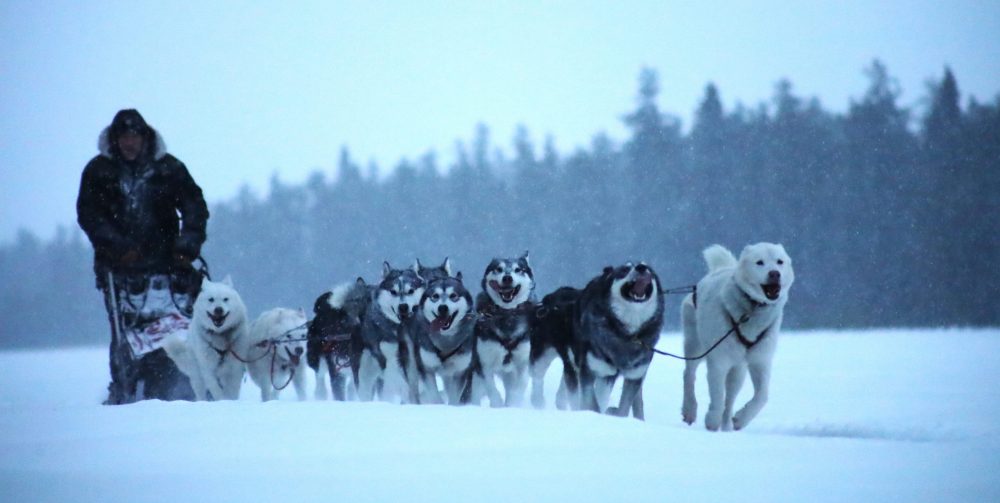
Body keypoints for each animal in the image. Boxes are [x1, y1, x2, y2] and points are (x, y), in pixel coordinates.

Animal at [572, 262, 664, 420]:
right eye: (625, 270)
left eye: (649, 270)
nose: (641, 267)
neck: (627, 334)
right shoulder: (589, 370)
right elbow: (591, 403)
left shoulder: (635, 375)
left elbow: (624, 408)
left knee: (636, 401)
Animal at [680, 244, 796, 434]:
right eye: (759, 262)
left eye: (780, 261)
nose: (774, 273)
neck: (753, 310)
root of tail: (720, 268)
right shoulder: (718, 362)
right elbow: (717, 396)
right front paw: (712, 421)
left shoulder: (760, 360)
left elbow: (762, 396)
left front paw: (741, 419)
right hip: (695, 346)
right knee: (689, 375)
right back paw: (690, 409)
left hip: (738, 370)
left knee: (730, 399)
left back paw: (727, 425)